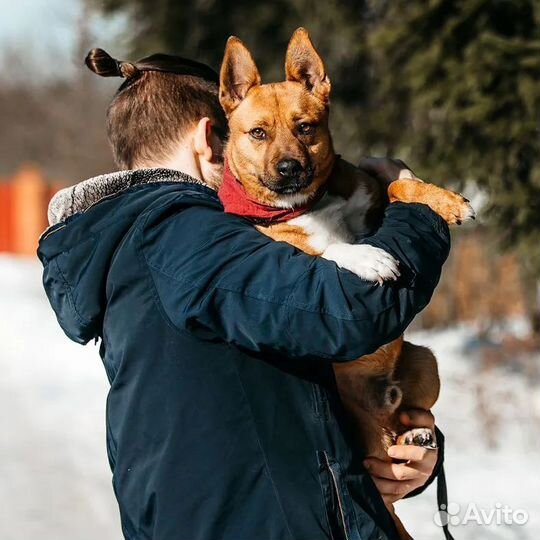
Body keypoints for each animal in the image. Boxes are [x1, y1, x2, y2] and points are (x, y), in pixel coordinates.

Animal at [217, 29, 474, 540]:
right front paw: (366, 257)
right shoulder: (276, 247)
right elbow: (325, 253)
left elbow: (398, 187)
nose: (290, 168)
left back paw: (417, 433)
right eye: (257, 133)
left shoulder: (373, 196)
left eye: (306, 127)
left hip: (425, 360)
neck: (308, 204)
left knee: (401, 429)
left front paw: (444, 199)